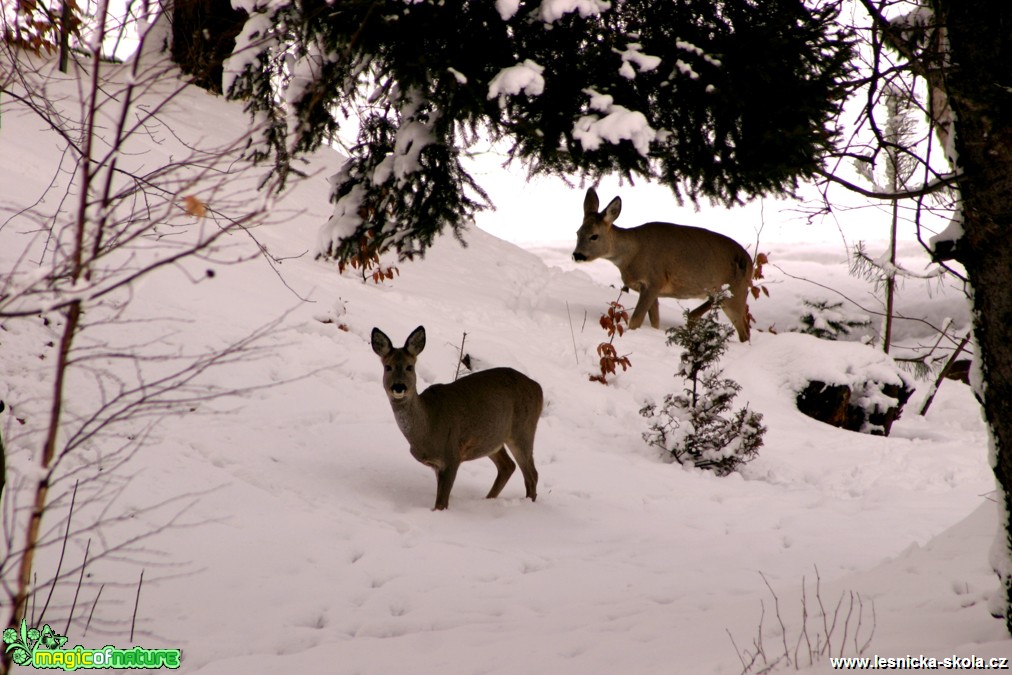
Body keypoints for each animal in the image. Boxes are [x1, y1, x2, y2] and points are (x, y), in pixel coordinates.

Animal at [370, 323, 542, 510]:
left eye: (410, 366)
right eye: (388, 367)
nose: (399, 387)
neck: (428, 426)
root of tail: (538, 388)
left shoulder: (452, 455)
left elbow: (441, 503)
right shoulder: (438, 465)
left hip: (523, 430)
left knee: (532, 474)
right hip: (492, 439)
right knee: (508, 466)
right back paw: (487, 500)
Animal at [570, 186, 752, 340]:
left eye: (594, 236)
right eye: (577, 232)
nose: (577, 255)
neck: (631, 254)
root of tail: (750, 261)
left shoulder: (655, 280)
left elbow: (635, 321)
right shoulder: (650, 289)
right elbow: (654, 323)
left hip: (736, 291)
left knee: (744, 331)